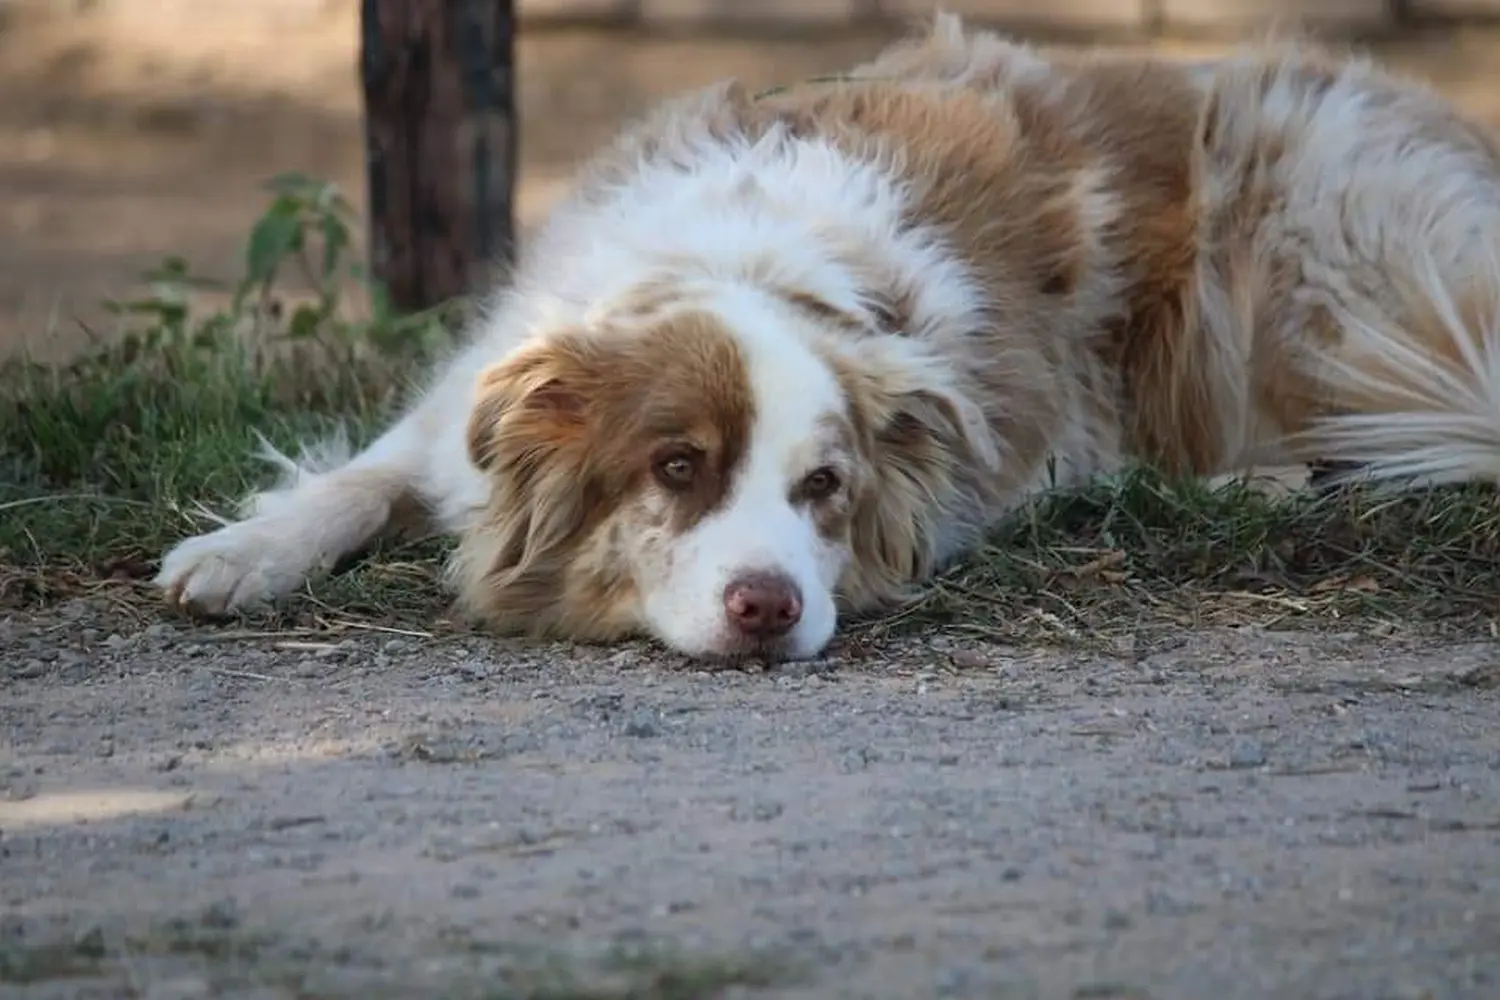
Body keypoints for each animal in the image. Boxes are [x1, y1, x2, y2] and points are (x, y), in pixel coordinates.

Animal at [155, 15, 1500, 659]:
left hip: (1316, 242)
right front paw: (240, 551)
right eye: (677, 468)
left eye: (826, 489)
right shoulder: (463, 404)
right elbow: (359, 477)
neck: (745, 261)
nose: (769, 608)